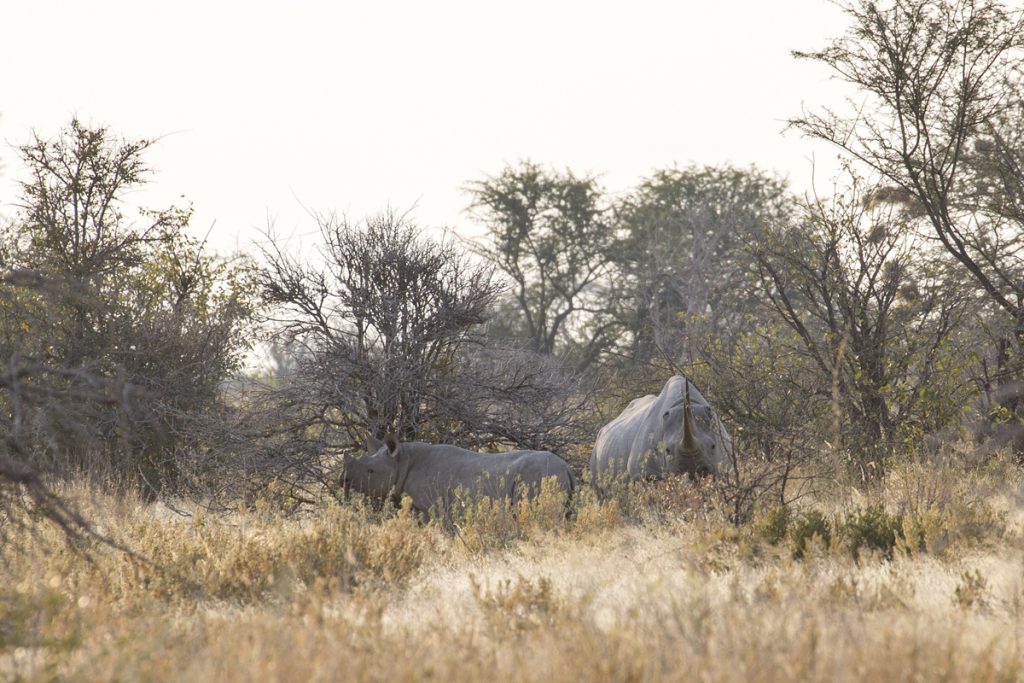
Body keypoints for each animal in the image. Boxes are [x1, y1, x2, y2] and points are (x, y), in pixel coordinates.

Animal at [342, 436, 577, 516]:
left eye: (370, 471)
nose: (343, 480)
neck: (402, 459)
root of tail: (567, 467)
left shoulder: (429, 506)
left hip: (540, 475)